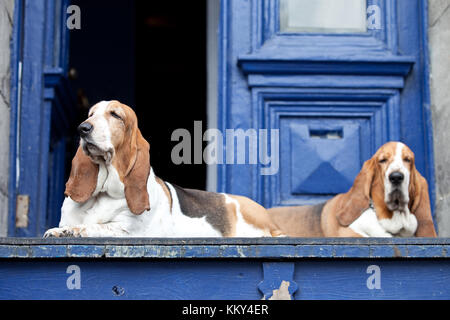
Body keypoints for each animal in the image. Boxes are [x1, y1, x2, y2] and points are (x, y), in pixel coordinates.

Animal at [43, 100, 282, 238]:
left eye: (116, 115)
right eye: (91, 114)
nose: (83, 128)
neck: (102, 193)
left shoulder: (127, 231)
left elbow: (96, 227)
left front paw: (72, 231)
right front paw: (61, 230)